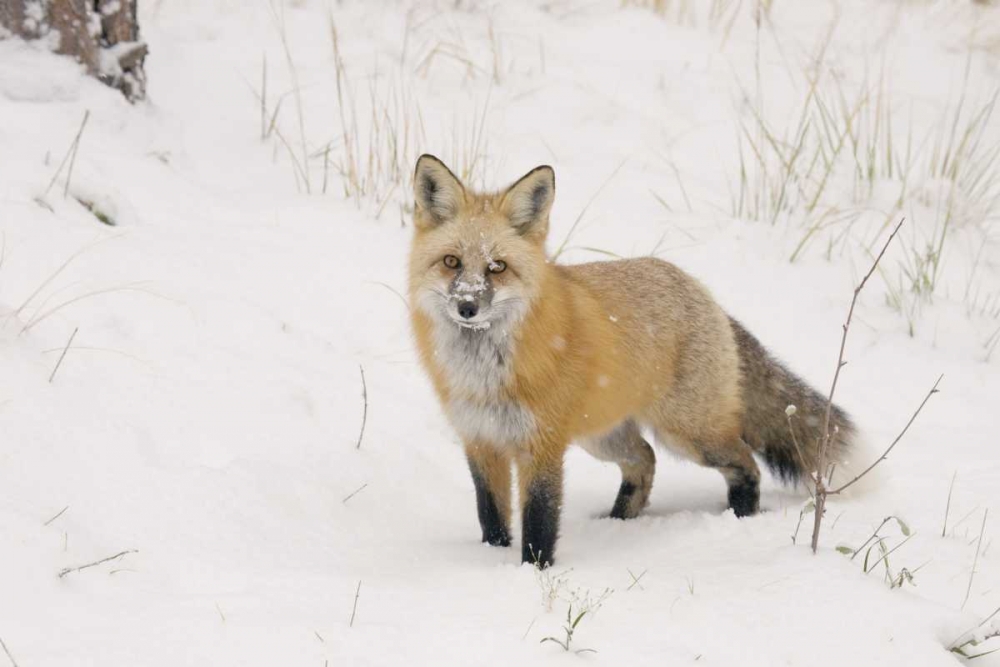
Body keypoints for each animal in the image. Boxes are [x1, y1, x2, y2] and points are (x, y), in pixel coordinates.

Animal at [402, 154, 856, 568]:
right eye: (451, 262)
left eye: (497, 267)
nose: (467, 307)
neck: (483, 375)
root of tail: (701, 290)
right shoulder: (480, 440)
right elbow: (491, 514)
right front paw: (492, 557)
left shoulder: (542, 444)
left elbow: (539, 520)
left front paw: (535, 572)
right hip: (603, 435)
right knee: (645, 460)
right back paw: (620, 521)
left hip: (689, 434)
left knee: (744, 462)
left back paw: (740, 517)